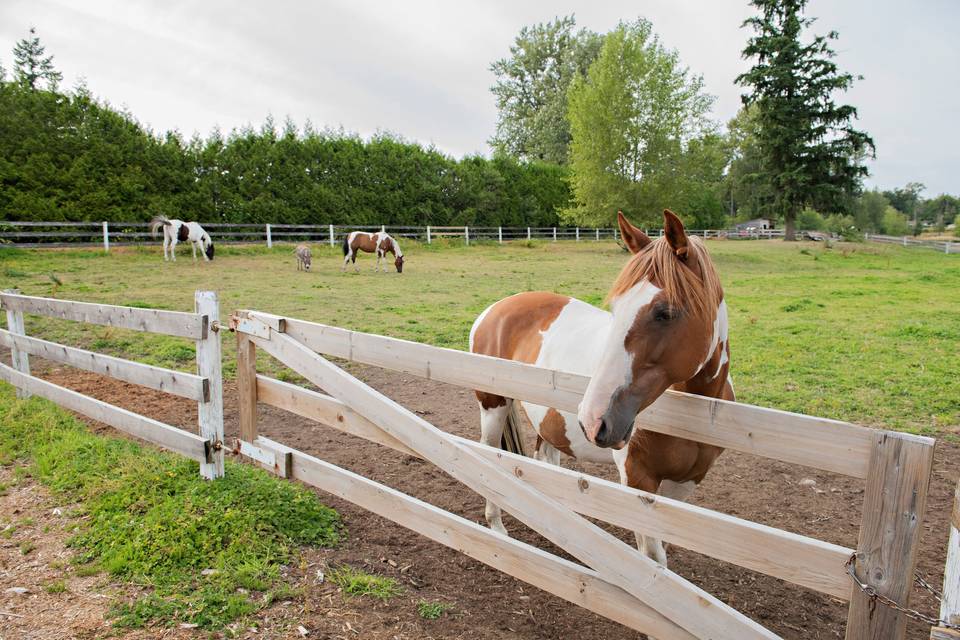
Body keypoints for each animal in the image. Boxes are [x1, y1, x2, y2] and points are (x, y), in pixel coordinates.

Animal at [468, 210, 732, 564]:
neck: (699, 413)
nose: (594, 419)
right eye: (615, 308)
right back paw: (496, 526)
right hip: (493, 405)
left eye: (664, 313)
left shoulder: (686, 483)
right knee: (491, 453)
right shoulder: (638, 480)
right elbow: (653, 559)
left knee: (546, 457)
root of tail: (493, 309)